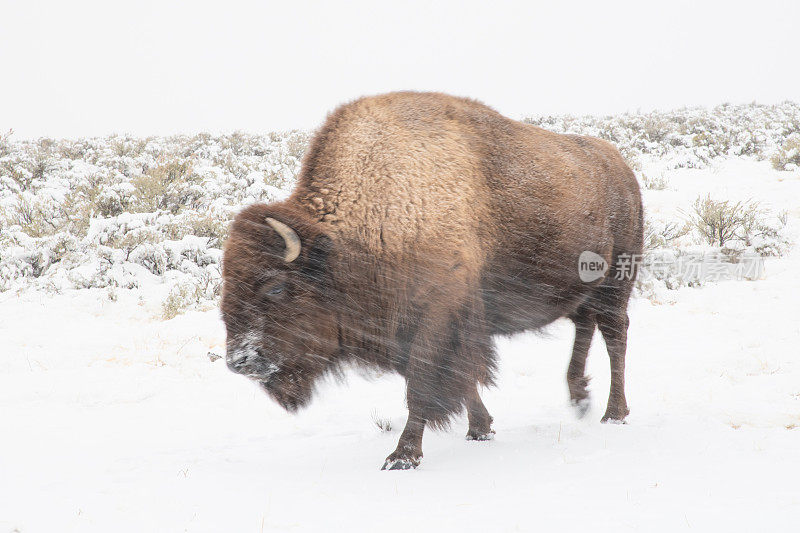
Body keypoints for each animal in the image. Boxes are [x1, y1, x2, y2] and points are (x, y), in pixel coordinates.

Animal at [220, 91, 644, 470]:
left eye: (276, 286)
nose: (240, 361)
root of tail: (621, 167)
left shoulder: (437, 319)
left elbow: (422, 386)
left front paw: (402, 457)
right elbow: (460, 380)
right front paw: (480, 430)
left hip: (616, 283)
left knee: (615, 336)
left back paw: (614, 413)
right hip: (583, 290)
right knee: (584, 327)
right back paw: (579, 399)